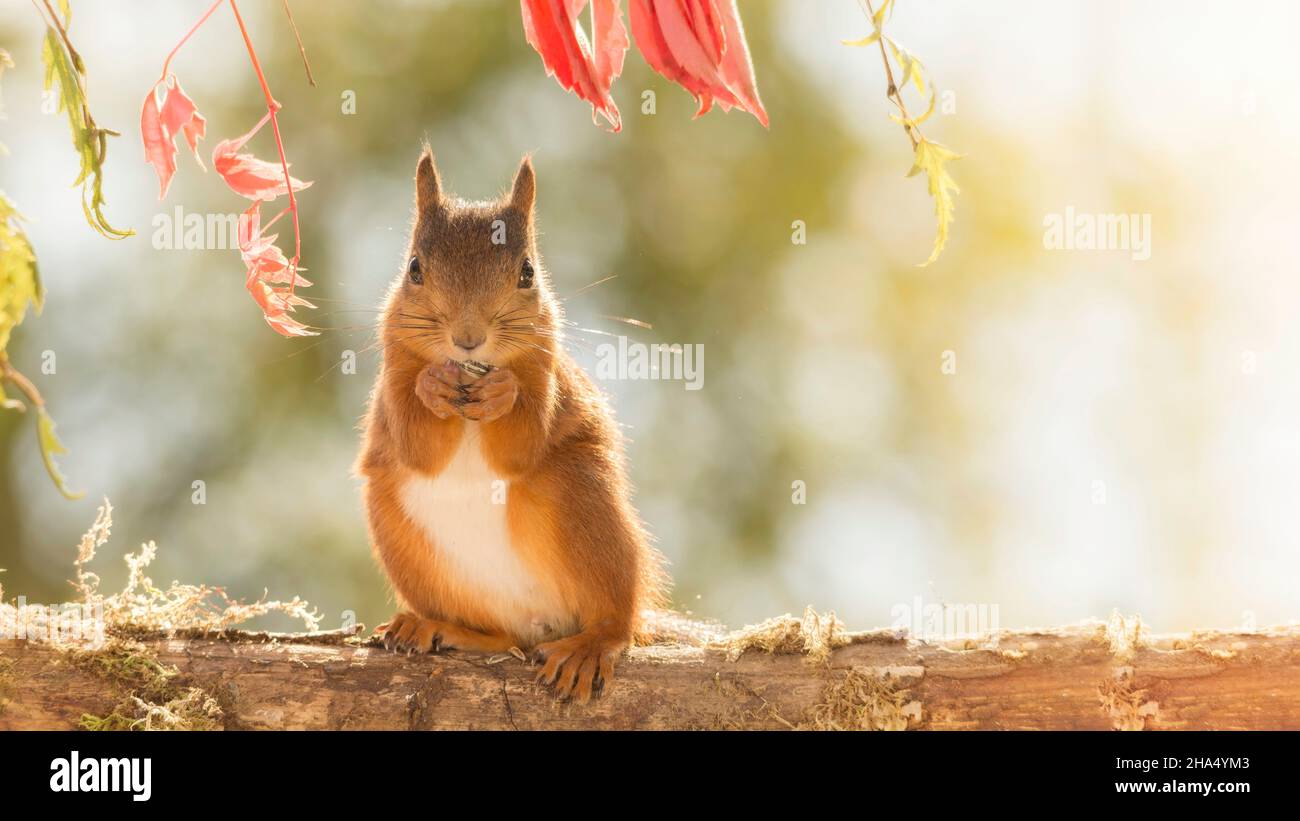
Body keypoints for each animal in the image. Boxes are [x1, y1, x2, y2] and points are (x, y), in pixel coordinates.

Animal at [361, 146, 665, 701]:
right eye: (414, 269)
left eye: (527, 273)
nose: (468, 339)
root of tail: (540, 622)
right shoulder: (393, 377)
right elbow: (417, 445)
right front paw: (432, 385)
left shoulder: (547, 376)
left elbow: (521, 446)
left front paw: (504, 392)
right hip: (400, 535)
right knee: (504, 637)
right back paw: (438, 627)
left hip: (584, 501)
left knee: (617, 621)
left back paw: (591, 647)